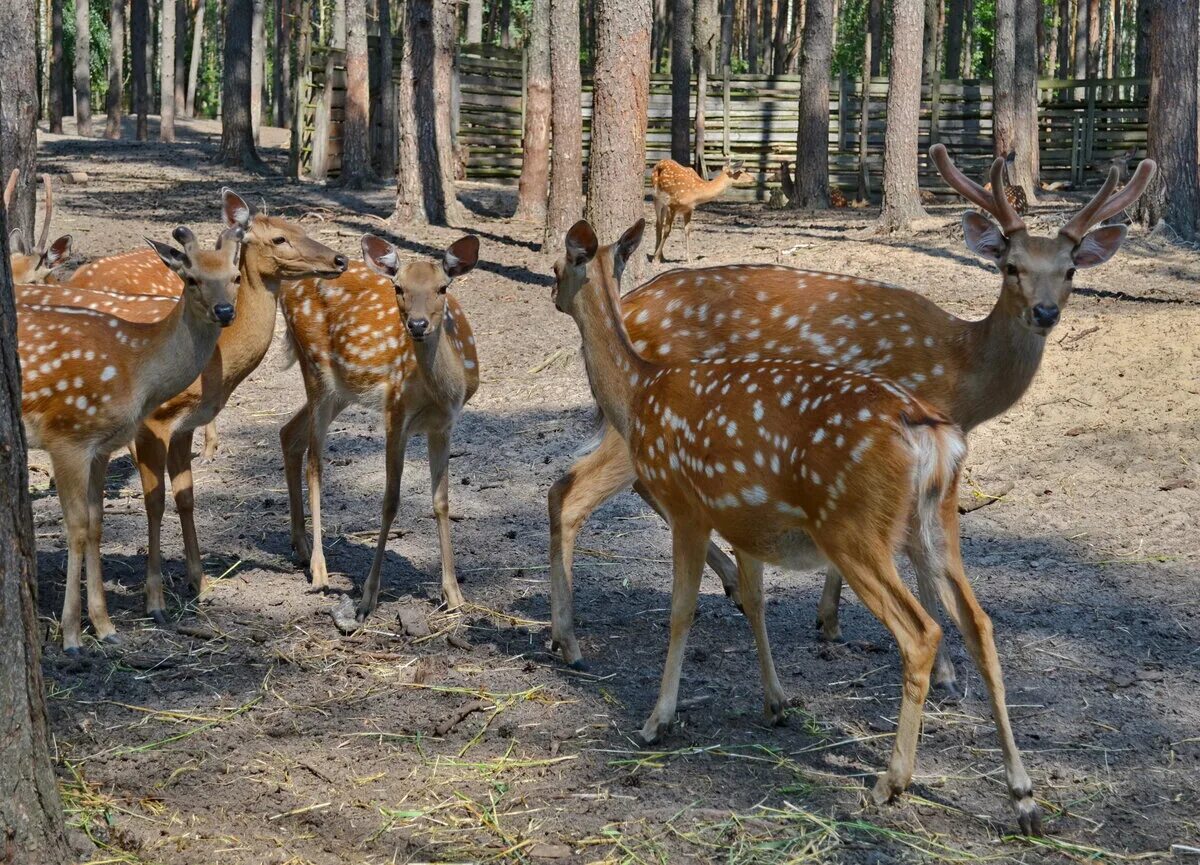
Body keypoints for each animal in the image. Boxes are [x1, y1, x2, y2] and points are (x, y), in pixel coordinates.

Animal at [17, 225, 242, 652]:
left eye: (236, 277)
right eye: (191, 279)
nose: (225, 312)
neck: (134, 368)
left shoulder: (101, 445)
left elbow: (95, 523)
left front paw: (105, 626)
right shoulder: (67, 435)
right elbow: (76, 527)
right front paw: (72, 636)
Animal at [34, 189, 348, 619]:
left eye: (300, 227)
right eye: (279, 238)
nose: (340, 260)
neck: (215, 365)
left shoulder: (184, 425)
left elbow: (186, 498)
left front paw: (199, 582)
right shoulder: (152, 422)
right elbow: (154, 502)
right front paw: (154, 598)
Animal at [278, 232, 480, 619]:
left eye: (442, 287)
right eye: (398, 287)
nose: (417, 325)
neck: (441, 391)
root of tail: (285, 287)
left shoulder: (444, 425)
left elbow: (442, 501)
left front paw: (454, 595)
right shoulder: (395, 414)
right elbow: (390, 501)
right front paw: (367, 599)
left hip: (342, 388)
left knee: (287, 433)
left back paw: (300, 545)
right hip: (315, 370)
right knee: (314, 462)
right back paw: (319, 569)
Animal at [549, 143, 1156, 695]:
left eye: (1070, 271)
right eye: (1011, 267)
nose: (1045, 312)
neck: (961, 369)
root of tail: (628, 308)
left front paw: (830, 619)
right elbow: (916, 559)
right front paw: (943, 671)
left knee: (592, 486)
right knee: (574, 491)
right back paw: (571, 642)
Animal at [552, 217, 1041, 835]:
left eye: (556, 264)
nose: (552, 294)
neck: (639, 395)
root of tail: (931, 433)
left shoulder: (689, 505)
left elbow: (682, 612)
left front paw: (656, 721)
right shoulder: (744, 518)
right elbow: (754, 601)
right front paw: (776, 703)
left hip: (854, 528)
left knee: (921, 632)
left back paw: (891, 782)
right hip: (936, 524)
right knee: (979, 622)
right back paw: (1024, 798)